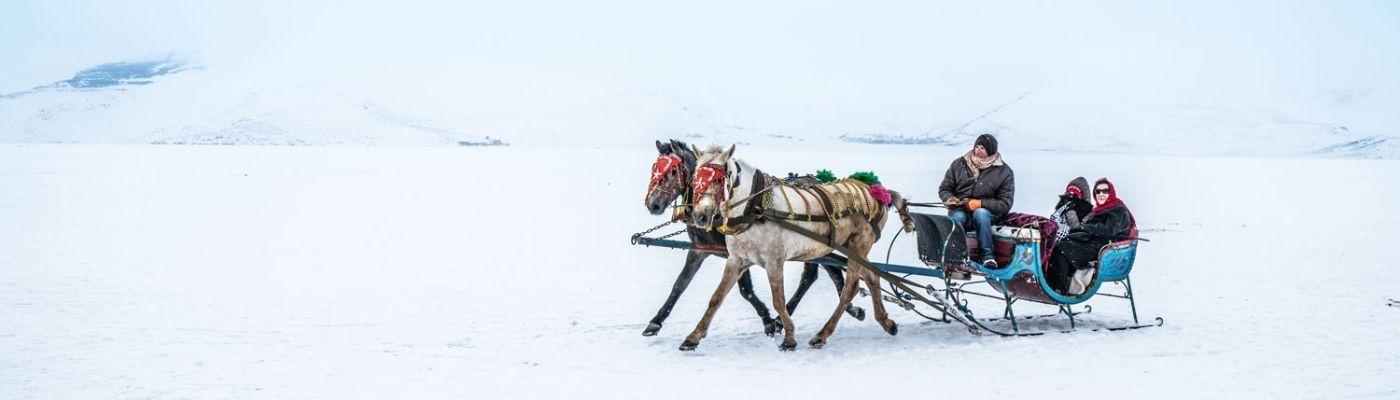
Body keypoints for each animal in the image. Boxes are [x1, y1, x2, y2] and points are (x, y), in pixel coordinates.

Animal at [641, 140, 856, 337]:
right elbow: (680, 284)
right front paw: (655, 322)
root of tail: (820, 184)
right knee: (824, 272)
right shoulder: (699, 250)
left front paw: (768, 321)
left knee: (817, 274)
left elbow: (745, 289)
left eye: (673, 171)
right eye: (654, 168)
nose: (653, 204)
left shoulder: (736, 253)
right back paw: (851, 307)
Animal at [680, 145, 918, 351]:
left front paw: (789, 338)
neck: (755, 208)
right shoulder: (737, 260)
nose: (700, 216)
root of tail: (877, 192)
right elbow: (716, 298)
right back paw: (886, 322)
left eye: (719, 178)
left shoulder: (774, 261)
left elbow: (778, 301)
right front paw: (693, 337)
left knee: (849, 289)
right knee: (872, 277)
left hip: (860, 244)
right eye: (695, 179)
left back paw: (822, 334)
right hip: (854, 247)